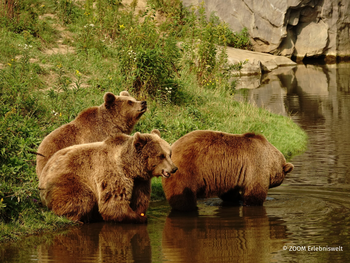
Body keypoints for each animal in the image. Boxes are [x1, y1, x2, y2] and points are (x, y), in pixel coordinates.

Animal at [38, 129, 178, 224]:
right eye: (161, 155)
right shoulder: (113, 174)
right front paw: (138, 217)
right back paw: (76, 218)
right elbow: (113, 202)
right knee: (82, 196)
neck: (129, 166)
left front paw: (140, 213)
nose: (174, 168)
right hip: (66, 179)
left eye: (169, 153)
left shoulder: (140, 180)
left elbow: (140, 198)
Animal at [163, 131, 294, 211]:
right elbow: (255, 193)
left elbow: (229, 193)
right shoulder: (257, 166)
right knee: (183, 194)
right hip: (188, 169)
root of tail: (172, 146)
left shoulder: (229, 175)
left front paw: (238, 199)